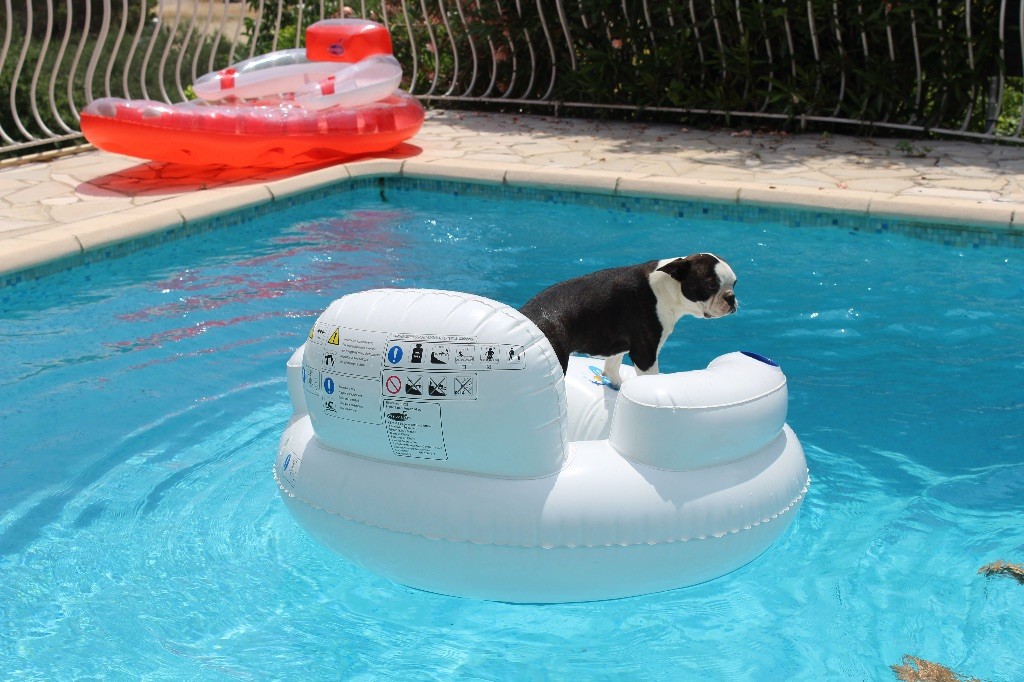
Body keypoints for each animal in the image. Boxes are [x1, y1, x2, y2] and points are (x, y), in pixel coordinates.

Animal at [519, 254, 738, 386]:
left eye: (735, 283)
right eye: (711, 285)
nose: (731, 297)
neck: (668, 288)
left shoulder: (618, 345)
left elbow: (611, 367)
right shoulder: (645, 353)